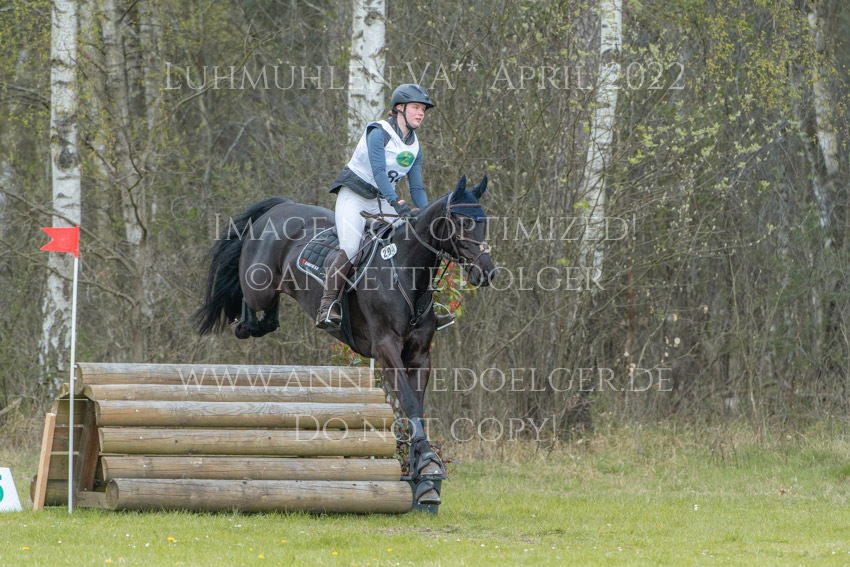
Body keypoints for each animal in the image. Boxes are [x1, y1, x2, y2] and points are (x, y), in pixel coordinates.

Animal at [193, 175, 495, 504]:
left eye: (484, 221)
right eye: (462, 221)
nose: (487, 273)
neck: (405, 271)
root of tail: (281, 207)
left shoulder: (419, 356)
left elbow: (415, 406)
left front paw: (424, 474)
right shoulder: (386, 349)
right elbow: (409, 402)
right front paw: (427, 463)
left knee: (271, 319)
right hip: (259, 283)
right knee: (251, 298)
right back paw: (244, 325)